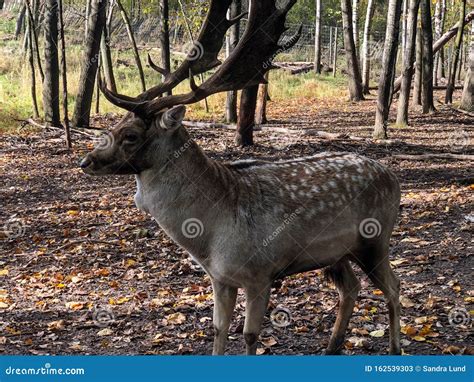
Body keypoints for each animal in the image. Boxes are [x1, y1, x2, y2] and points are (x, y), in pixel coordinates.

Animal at [79, 0, 402, 356]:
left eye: (131, 135)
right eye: (115, 124)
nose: (86, 161)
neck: (209, 238)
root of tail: (393, 177)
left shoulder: (260, 274)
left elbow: (249, 335)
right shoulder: (219, 278)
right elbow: (218, 328)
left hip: (375, 240)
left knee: (395, 287)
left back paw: (395, 348)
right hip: (336, 254)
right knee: (351, 287)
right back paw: (332, 347)